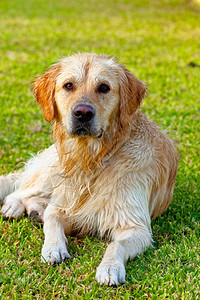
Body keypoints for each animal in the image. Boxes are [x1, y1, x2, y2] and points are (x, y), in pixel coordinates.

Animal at [0, 53, 178, 286]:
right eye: (68, 86)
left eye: (104, 87)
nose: (83, 113)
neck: (93, 160)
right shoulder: (66, 205)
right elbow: (53, 218)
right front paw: (53, 247)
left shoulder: (135, 226)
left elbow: (116, 244)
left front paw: (110, 268)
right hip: (51, 172)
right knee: (21, 188)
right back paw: (13, 206)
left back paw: (35, 211)